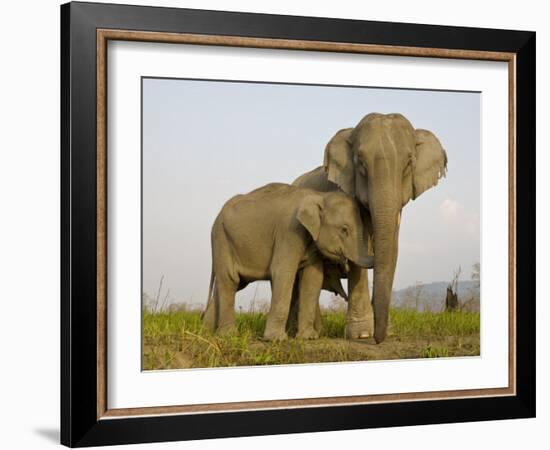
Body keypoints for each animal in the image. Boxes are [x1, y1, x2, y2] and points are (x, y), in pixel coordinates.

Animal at [203, 183, 376, 342]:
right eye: (344, 230)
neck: (319, 196)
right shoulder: (289, 232)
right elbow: (283, 272)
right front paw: (276, 339)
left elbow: (313, 278)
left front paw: (309, 337)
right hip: (221, 239)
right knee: (230, 279)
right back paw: (228, 335)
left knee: (233, 283)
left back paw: (208, 332)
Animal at [294, 111, 448, 342]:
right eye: (361, 163)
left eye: (409, 163)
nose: (378, 339)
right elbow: (360, 248)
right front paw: (363, 334)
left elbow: (392, 247)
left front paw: (388, 331)